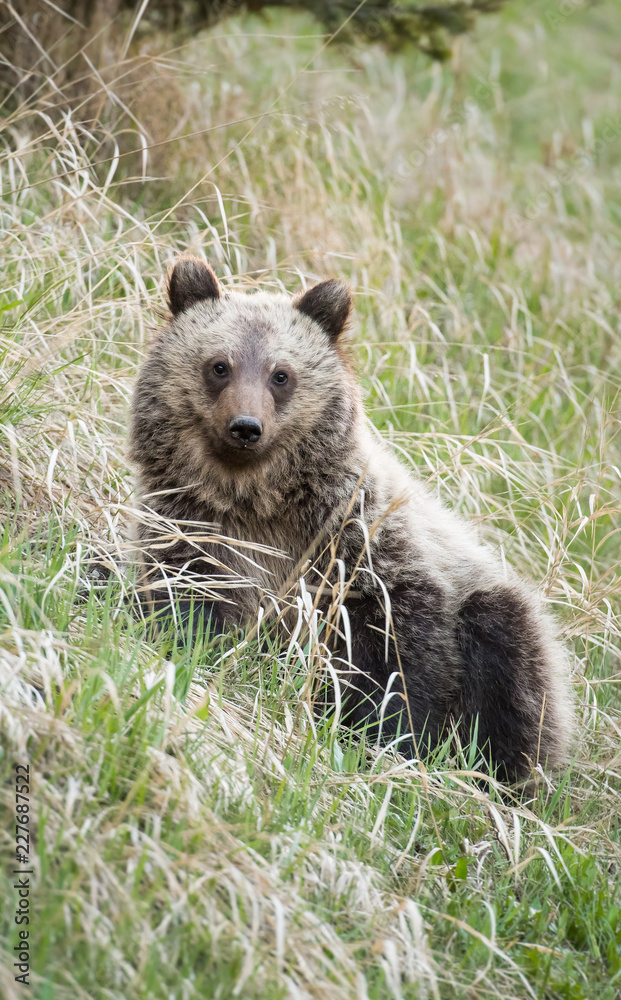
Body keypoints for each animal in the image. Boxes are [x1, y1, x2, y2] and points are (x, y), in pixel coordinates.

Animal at [128, 256, 574, 782]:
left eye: (281, 374)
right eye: (220, 366)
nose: (246, 427)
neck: (257, 500)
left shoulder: (356, 540)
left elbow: (395, 651)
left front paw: (387, 738)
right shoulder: (193, 529)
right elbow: (186, 603)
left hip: (503, 619)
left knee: (509, 662)